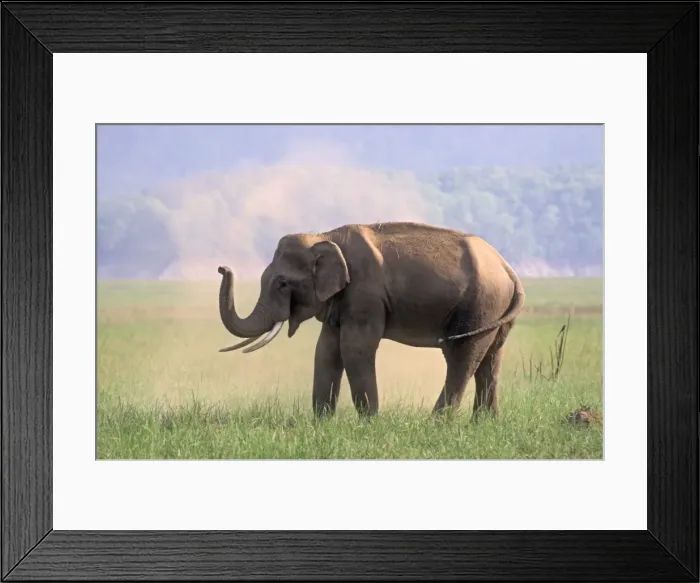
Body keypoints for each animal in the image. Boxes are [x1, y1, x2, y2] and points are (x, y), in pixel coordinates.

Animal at [217, 221, 525, 419]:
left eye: (282, 284)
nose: (222, 267)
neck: (325, 236)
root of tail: (508, 268)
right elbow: (327, 349)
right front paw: (321, 423)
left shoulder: (365, 294)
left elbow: (355, 348)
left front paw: (369, 423)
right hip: (495, 311)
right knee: (490, 359)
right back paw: (484, 423)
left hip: (481, 306)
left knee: (462, 357)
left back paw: (437, 423)